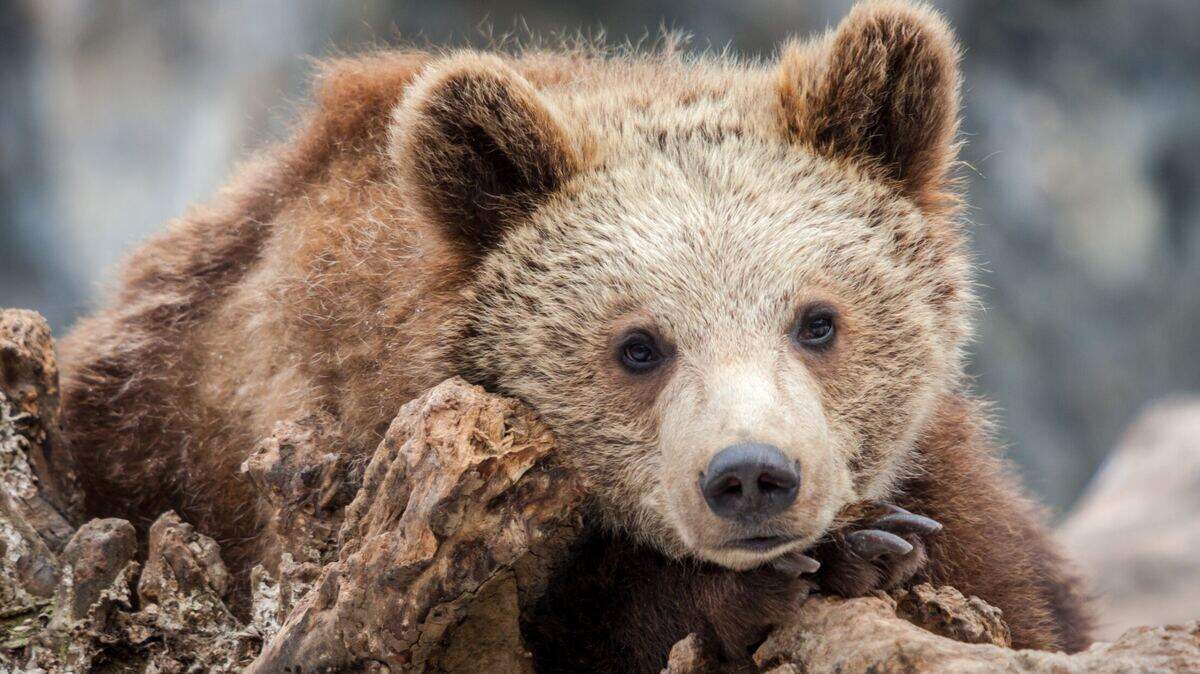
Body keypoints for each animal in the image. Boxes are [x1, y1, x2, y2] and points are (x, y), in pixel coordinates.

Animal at [57, 0, 1092, 670]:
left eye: (817, 320)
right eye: (639, 345)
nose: (751, 475)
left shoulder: (963, 501)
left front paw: (864, 543)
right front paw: (835, 555)